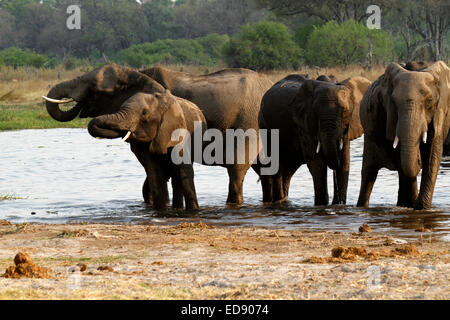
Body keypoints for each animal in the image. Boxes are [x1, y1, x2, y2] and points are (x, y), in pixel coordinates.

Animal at [258, 74, 370, 205]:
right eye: (316, 112)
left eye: (344, 110)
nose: (337, 201)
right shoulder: (304, 123)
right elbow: (317, 161)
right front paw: (322, 204)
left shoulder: (348, 126)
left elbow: (344, 162)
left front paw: (339, 204)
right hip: (264, 124)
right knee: (277, 162)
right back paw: (279, 200)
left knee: (289, 168)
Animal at [356, 61, 450, 210]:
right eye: (394, 102)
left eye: (429, 101)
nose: (418, 158)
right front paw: (415, 205)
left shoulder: (441, 113)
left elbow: (432, 155)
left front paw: (421, 207)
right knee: (369, 173)